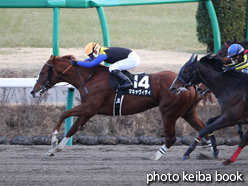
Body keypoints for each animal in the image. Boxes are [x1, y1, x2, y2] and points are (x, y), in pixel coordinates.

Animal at [29, 54, 211, 159]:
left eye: (43, 72)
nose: (33, 91)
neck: (90, 78)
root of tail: (189, 86)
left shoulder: (90, 107)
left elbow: (64, 114)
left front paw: (53, 139)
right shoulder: (89, 110)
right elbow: (73, 129)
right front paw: (54, 150)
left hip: (169, 112)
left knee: (171, 138)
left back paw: (154, 158)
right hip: (187, 112)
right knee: (204, 129)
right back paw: (210, 153)